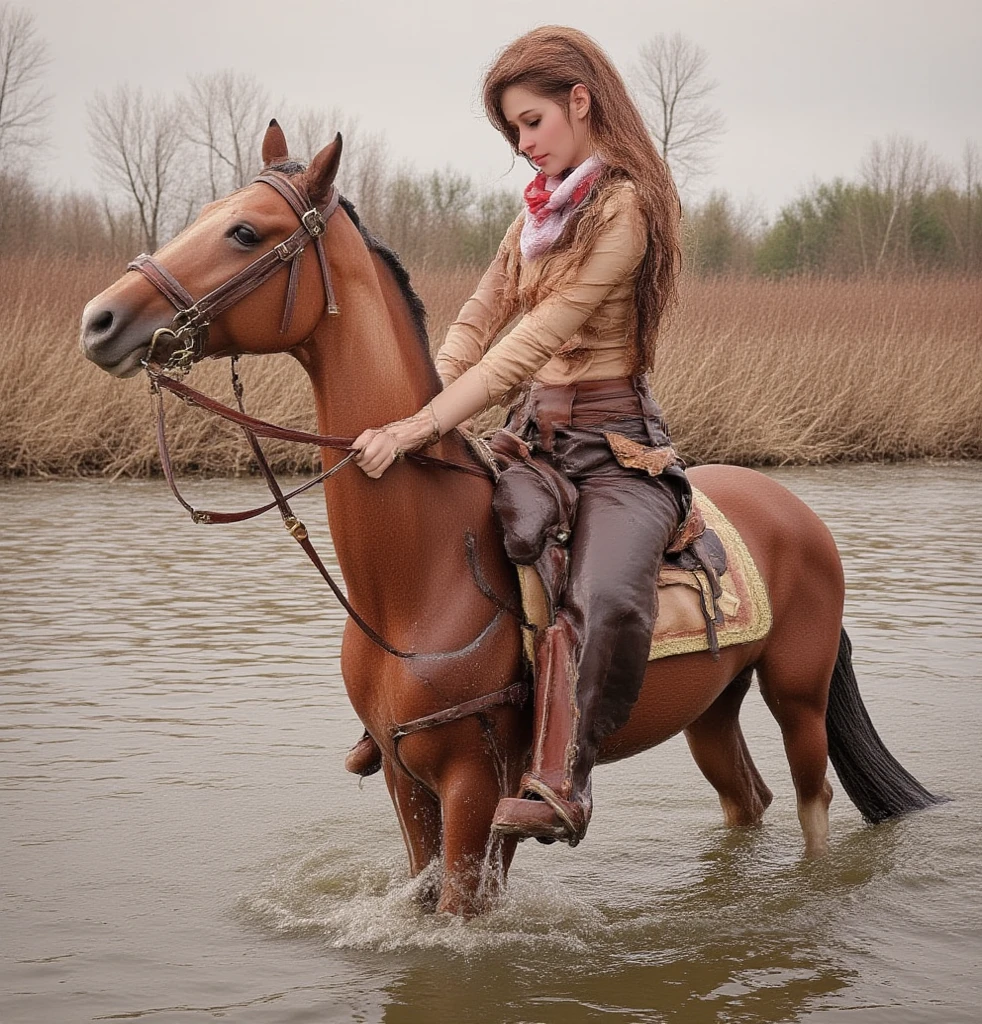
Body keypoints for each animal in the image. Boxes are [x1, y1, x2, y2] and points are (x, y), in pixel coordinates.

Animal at [80, 122, 942, 915]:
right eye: (209, 212)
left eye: (245, 231)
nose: (100, 320)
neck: (419, 574)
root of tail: (799, 514)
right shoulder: (405, 779)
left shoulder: (474, 783)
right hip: (711, 708)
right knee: (747, 801)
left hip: (797, 692)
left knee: (811, 802)